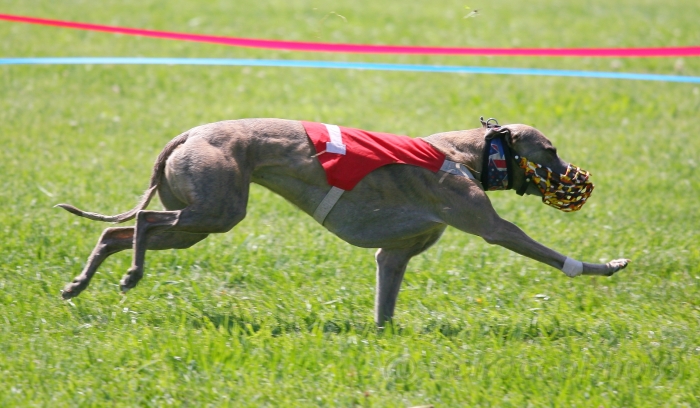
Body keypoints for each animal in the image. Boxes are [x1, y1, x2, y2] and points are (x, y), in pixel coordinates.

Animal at [57, 117, 629, 325]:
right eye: (549, 148)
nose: (577, 178)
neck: (464, 154)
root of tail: (187, 134)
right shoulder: (489, 225)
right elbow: (546, 253)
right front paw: (605, 266)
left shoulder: (394, 255)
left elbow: (385, 300)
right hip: (214, 210)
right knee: (144, 221)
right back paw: (132, 274)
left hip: (197, 223)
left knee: (116, 230)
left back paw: (78, 284)